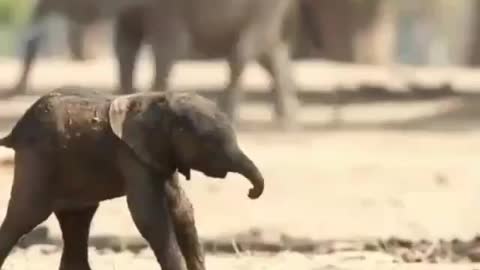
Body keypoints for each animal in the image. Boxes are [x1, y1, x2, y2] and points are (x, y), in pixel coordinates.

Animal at [0, 87, 264, 270]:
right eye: (210, 143)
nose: (251, 193)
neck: (159, 100)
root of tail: (14, 131)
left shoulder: (159, 155)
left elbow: (182, 210)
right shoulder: (131, 155)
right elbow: (149, 216)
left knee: (77, 220)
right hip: (37, 160)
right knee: (24, 217)